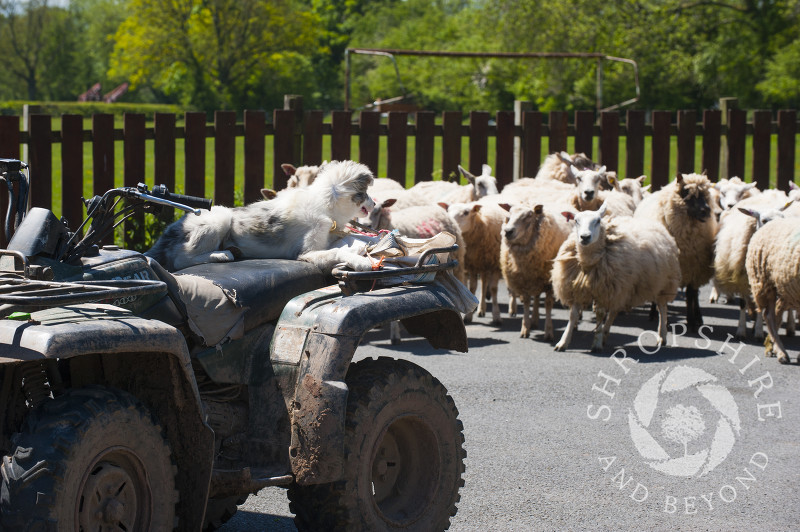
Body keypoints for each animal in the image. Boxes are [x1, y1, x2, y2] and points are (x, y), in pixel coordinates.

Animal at [500, 202, 568, 338]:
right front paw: (525, 328)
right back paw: (534, 321)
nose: (508, 231)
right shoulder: (524, 279)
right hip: (536, 278)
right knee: (536, 297)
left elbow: (548, 304)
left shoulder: (549, 282)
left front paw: (548, 331)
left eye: (529, 216)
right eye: (509, 213)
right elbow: (527, 302)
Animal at [552, 204, 680, 354]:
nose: (585, 237)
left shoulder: (604, 289)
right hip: (622, 287)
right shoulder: (579, 288)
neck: (589, 261)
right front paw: (563, 343)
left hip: (663, 283)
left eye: (598, 221)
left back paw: (662, 336)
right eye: (576, 221)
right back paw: (605, 334)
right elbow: (573, 316)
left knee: (662, 308)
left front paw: (596, 344)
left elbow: (600, 314)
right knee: (614, 310)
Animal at [636, 174, 716, 332]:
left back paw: (698, 317)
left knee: (695, 295)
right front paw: (664, 321)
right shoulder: (668, 270)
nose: (706, 210)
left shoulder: (693, 268)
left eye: (705, 194)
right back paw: (653, 314)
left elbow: (690, 295)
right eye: (687, 193)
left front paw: (691, 321)